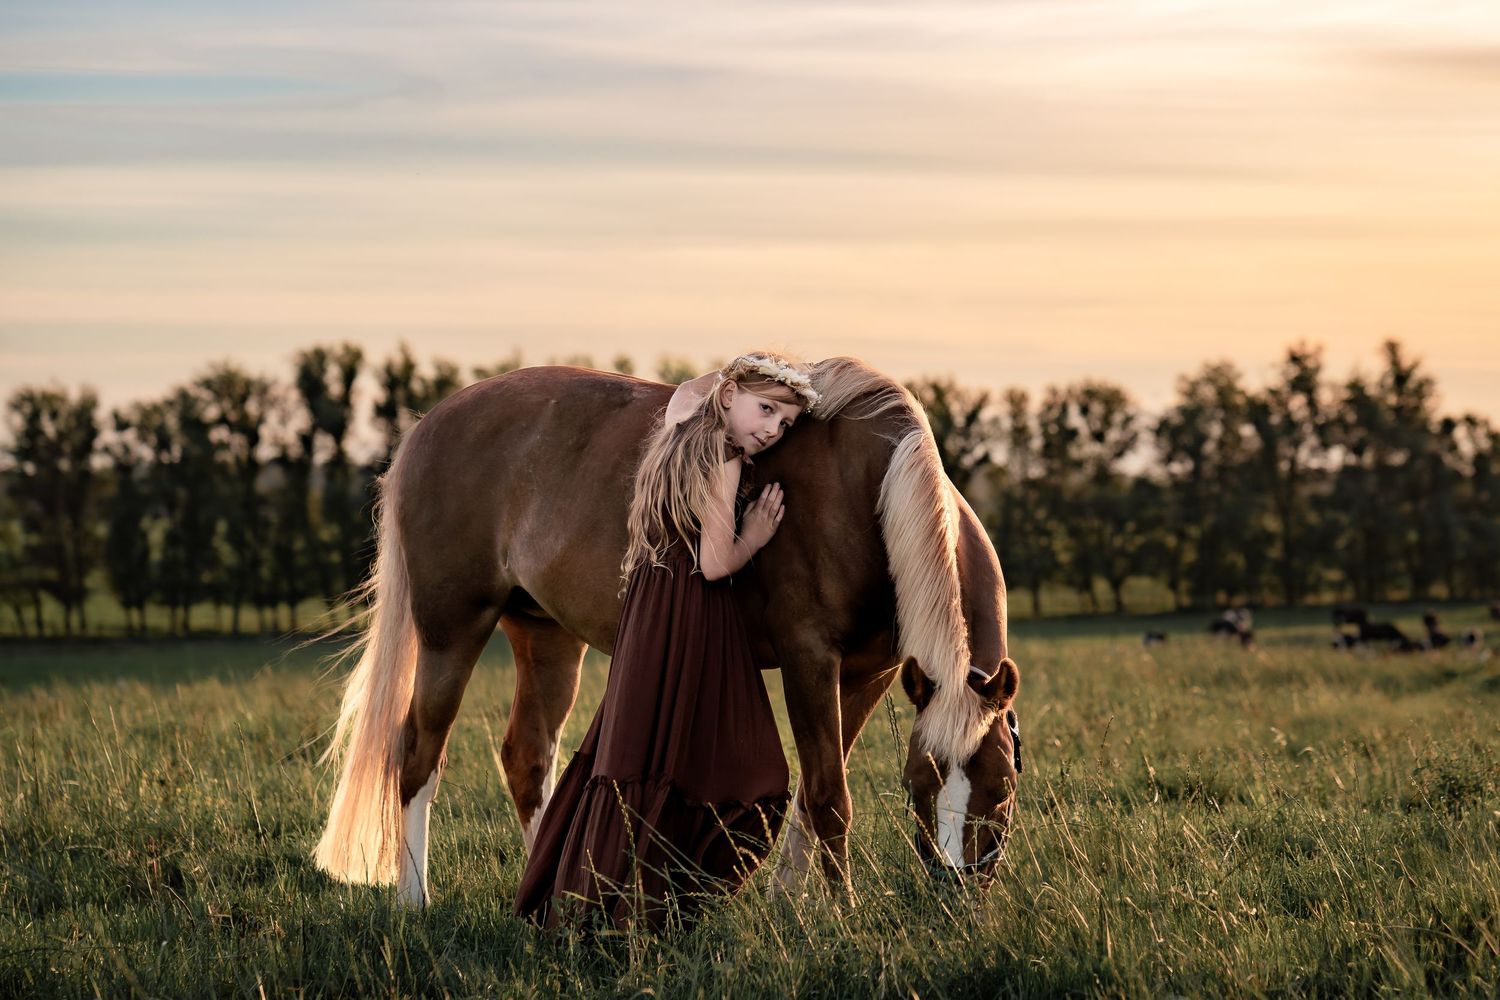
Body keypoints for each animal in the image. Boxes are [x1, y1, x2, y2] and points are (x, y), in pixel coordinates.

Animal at [311, 357, 1021, 908]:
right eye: (922, 786)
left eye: (1002, 788)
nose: (958, 893)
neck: (866, 493)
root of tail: (431, 423)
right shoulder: (810, 659)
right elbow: (828, 797)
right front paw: (842, 915)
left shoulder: (870, 672)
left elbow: (817, 789)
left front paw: (787, 901)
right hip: (451, 632)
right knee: (416, 754)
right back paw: (415, 901)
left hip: (545, 636)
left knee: (527, 758)